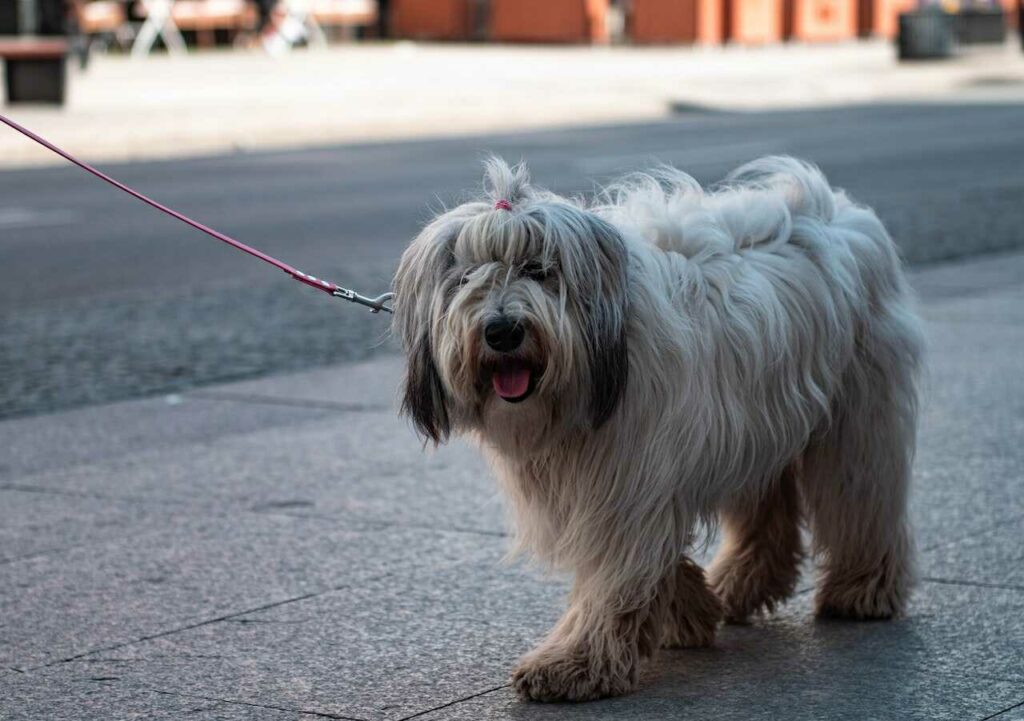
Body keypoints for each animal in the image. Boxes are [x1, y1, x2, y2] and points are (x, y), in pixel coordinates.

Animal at [387, 156, 925, 696]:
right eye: (465, 279)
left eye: (539, 271)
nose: (502, 330)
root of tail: (839, 209)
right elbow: (650, 559)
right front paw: (688, 609)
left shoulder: (629, 479)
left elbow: (617, 567)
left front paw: (575, 661)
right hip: (756, 429)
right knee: (769, 515)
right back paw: (738, 585)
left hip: (855, 415)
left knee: (862, 497)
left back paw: (862, 589)